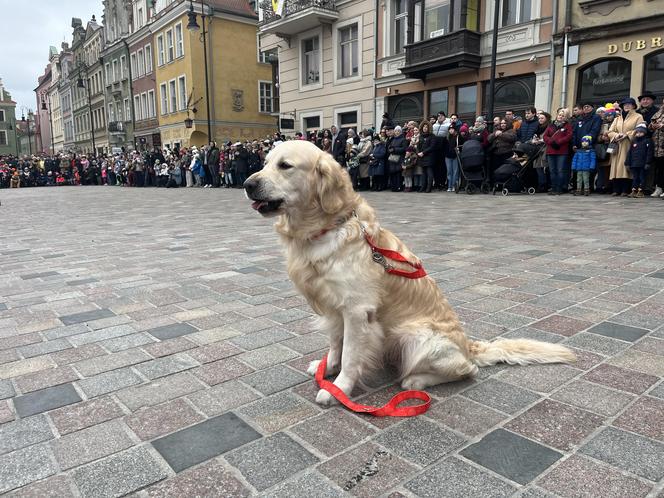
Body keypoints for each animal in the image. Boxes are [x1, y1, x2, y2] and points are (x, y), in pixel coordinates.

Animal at [245, 140, 576, 404]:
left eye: (285, 165)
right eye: (264, 163)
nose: (248, 184)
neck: (326, 227)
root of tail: (469, 347)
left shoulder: (357, 310)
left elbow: (351, 354)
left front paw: (339, 389)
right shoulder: (334, 308)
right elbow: (336, 344)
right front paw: (329, 368)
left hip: (413, 335)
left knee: (466, 371)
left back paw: (416, 380)